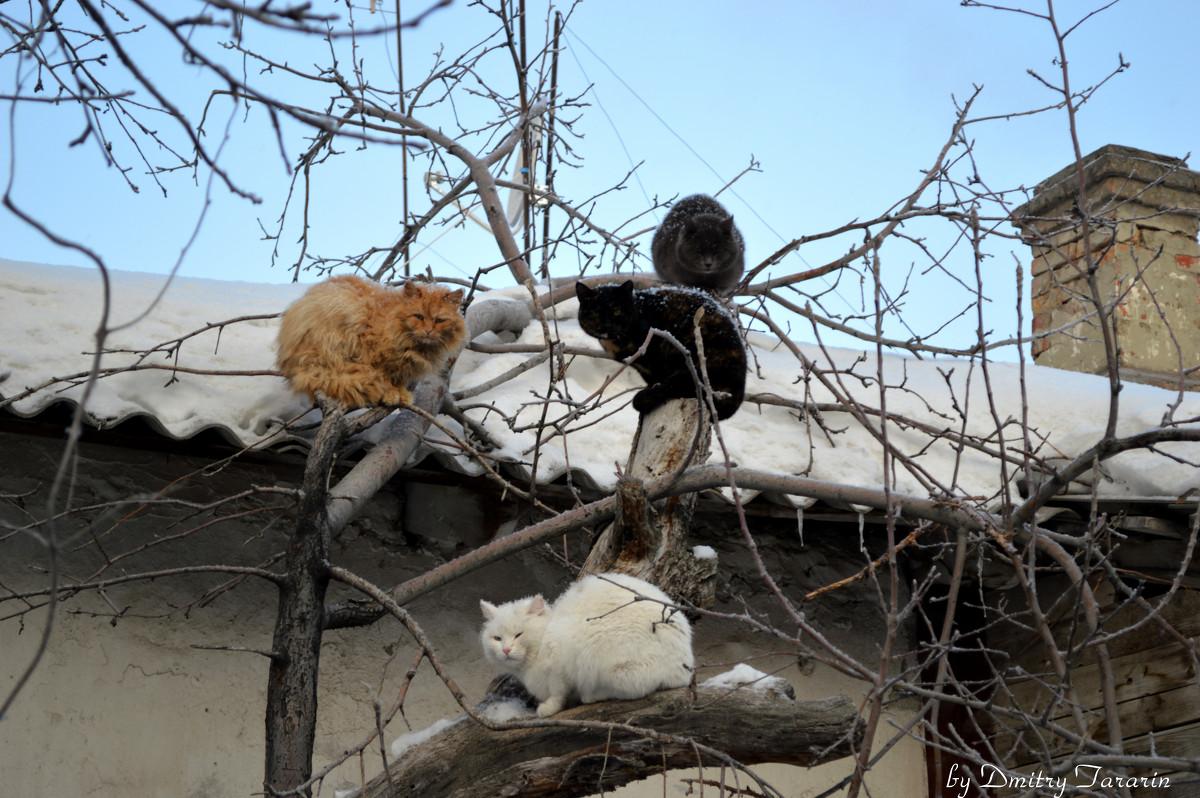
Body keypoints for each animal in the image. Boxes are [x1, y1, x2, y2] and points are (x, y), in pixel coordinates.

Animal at [278, 276, 465, 410]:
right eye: (419, 316)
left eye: (439, 320)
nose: (428, 330)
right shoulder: (370, 353)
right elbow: (383, 377)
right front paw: (390, 394)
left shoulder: (404, 368)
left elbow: (399, 381)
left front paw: (402, 394)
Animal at [480, 573, 696, 715]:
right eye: (497, 639)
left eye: (518, 635)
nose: (506, 649)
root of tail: (684, 666)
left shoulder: (558, 667)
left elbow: (558, 693)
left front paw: (548, 709)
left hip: (606, 665)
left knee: (633, 690)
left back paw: (590, 696)